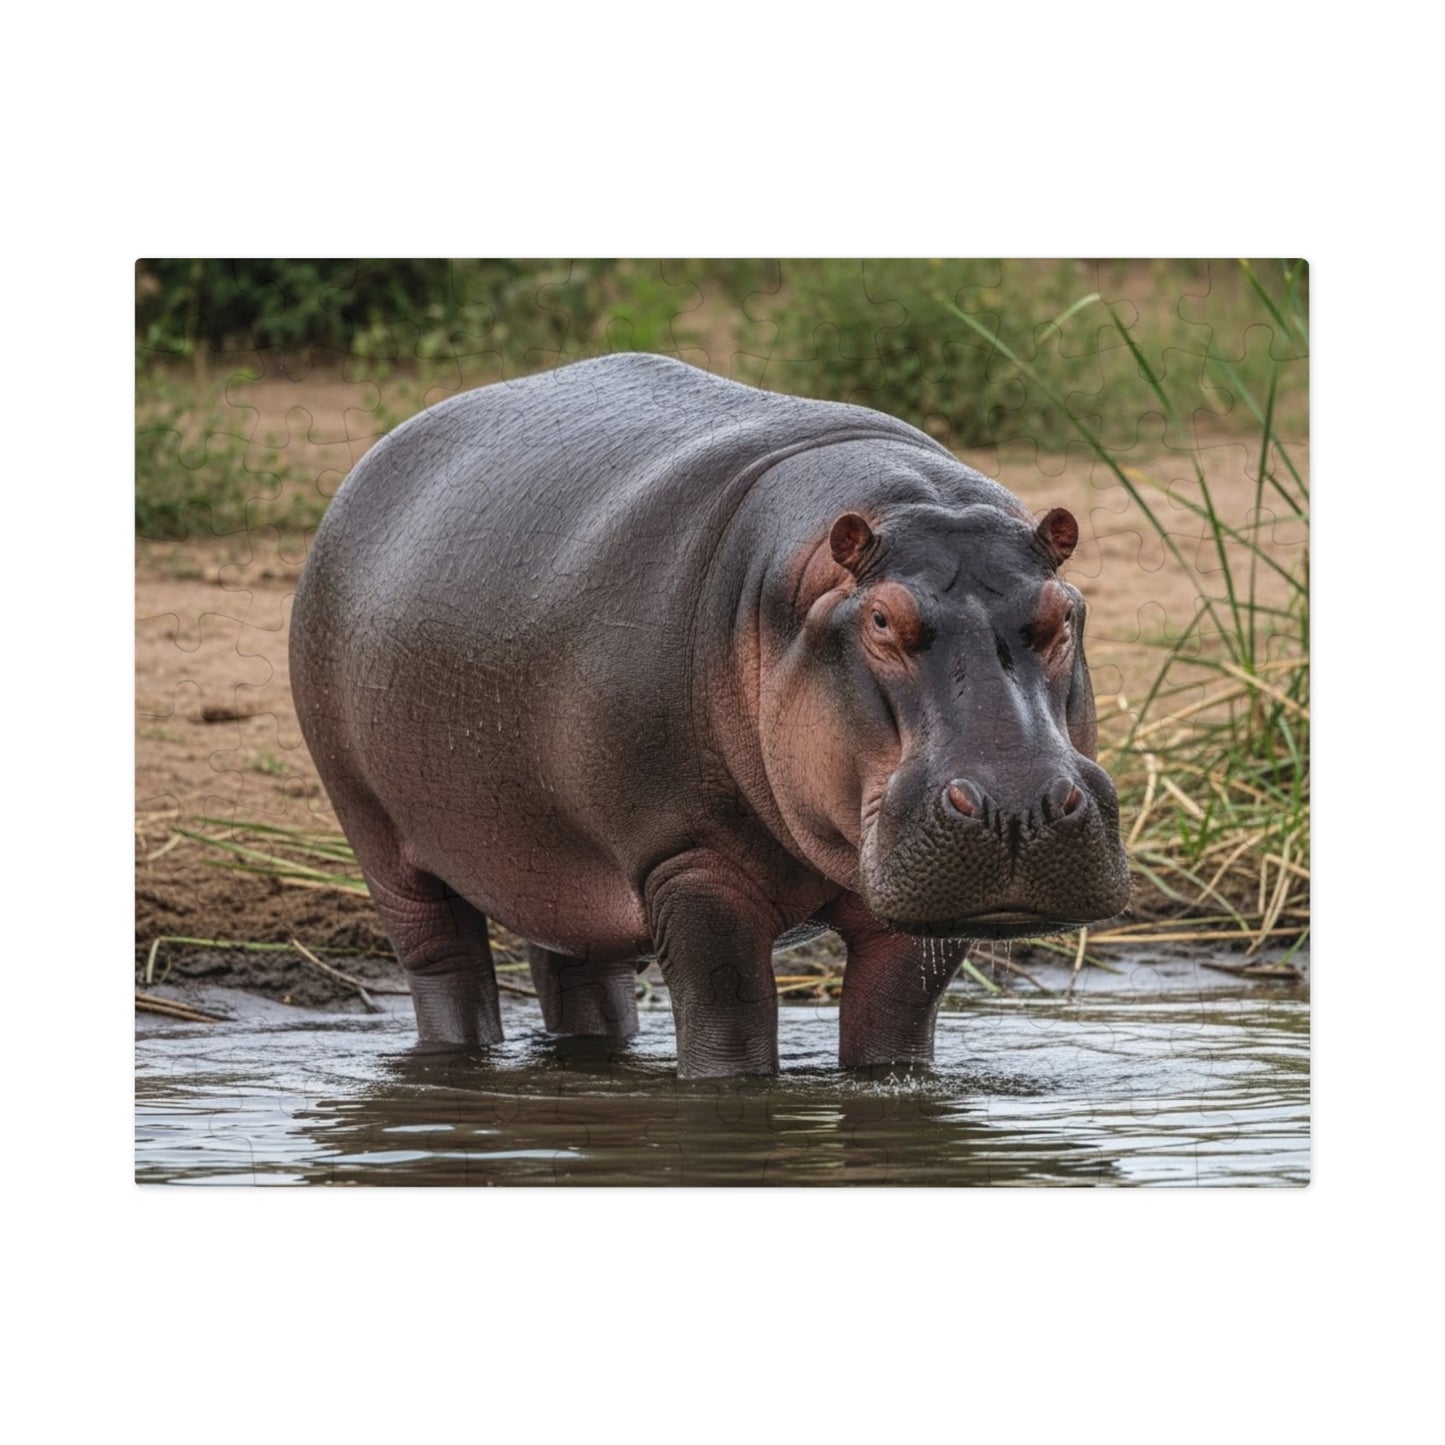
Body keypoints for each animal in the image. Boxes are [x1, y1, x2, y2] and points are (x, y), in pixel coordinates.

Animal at [290, 353, 1130, 1077]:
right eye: (881, 620)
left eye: (1062, 612)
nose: (1017, 805)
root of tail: (378, 457)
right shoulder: (685, 857)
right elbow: (729, 1013)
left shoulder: (914, 905)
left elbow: (894, 1020)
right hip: (376, 832)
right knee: (444, 964)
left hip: (558, 855)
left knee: (579, 971)